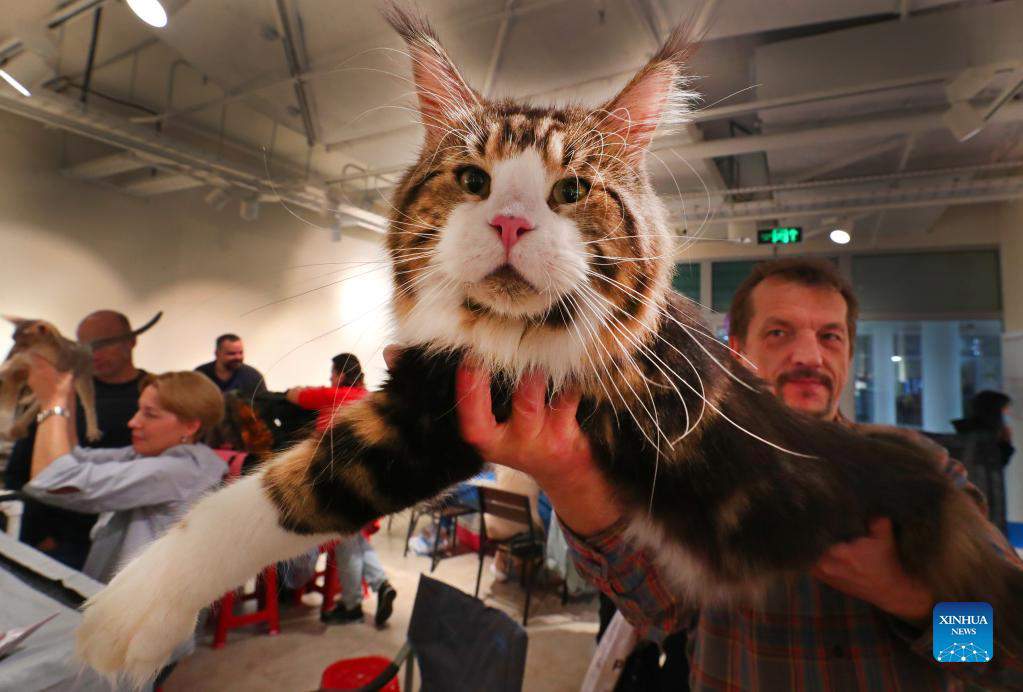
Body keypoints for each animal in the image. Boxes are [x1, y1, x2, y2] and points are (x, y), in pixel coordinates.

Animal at [76, 6, 1023, 684]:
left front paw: (127, 620)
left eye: (571, 191)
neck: (504, 338)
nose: (508, 221)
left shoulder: (432, 418)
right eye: (472, 180)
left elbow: (269, 498)